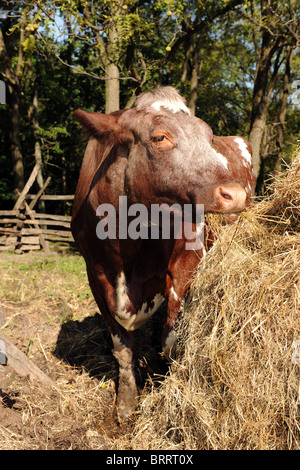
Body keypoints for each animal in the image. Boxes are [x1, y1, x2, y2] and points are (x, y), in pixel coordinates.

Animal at [71, 86, 255, 420]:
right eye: (159, 137)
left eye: (208, 137)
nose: (235, 194)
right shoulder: (95, 275)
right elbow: (122, 348)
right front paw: (126, 404)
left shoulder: (185, 265)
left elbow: (170, 342)